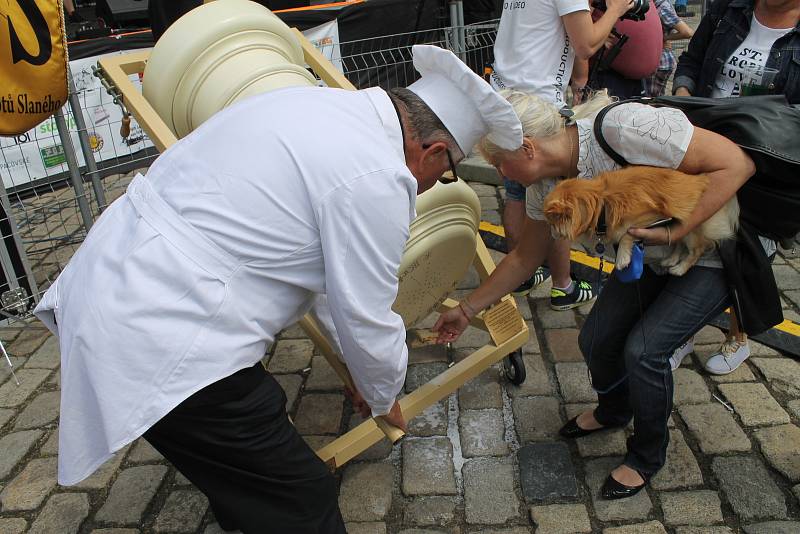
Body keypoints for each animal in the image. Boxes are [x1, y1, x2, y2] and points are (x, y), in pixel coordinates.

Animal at [540, 166, 740, 276]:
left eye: (551, 224)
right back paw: (671, 260)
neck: (603, 203)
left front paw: (622, 258)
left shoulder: (652, 218)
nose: (550, 232)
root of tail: (703, 180)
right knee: (677, 242)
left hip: (691, 229)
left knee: (696, 250)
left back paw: (680, 268)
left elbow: (627, 234)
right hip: (680, 227)